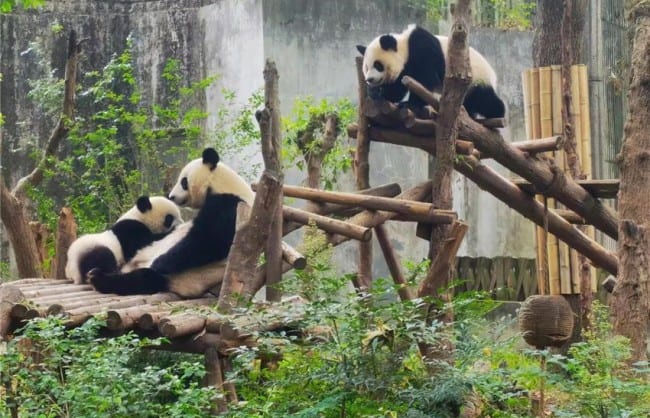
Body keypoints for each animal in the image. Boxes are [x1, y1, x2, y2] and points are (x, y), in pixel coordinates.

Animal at [88, 148, 253, 298]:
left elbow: (208, 241)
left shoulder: (230, 205)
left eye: (183, 181)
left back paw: (98, 278)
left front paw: (160, 263)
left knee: (143, 279)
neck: (223, 184)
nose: (172, 196)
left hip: (178, 279)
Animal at [354, 23, 506, 119]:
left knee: (484, 98)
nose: (369, 79)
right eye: (366, 67)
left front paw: (409, 104)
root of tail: (493, 74)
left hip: (477, 79)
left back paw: (497, 112)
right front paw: (376, 92)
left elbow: (426, 81)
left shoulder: (422, 50)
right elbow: (397, 89)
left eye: (378, 65)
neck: (405, 45)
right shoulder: (405, 67)